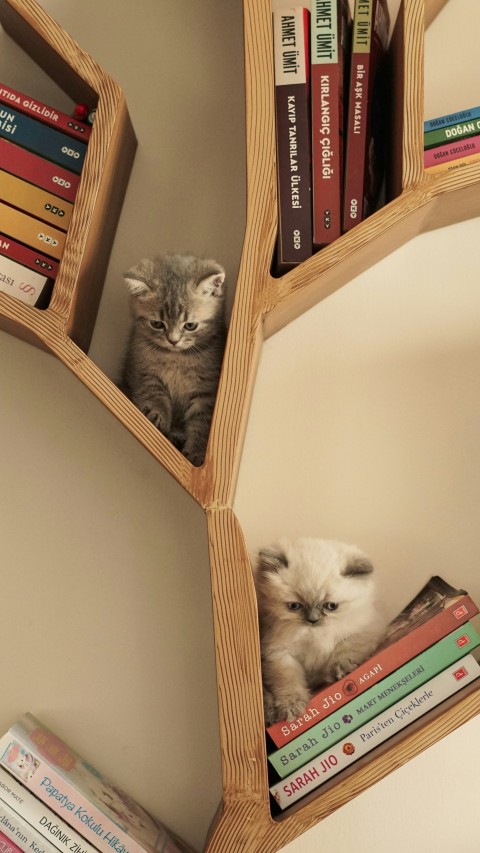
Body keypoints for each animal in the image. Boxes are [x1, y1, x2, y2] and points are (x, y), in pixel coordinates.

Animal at [120, 253, 225, 466]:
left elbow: (202, 421)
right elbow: (154, 392)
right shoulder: (142, 369)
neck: (177, 357)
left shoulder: (207, 390)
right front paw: (157, 415)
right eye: (157, 324)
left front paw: (197, 452)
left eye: (190, 325)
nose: (173, 340)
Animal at [255, 536, 386, 724]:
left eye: (331, 606)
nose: (313, 620)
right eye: (294, 606)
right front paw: (291, 706)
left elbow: (347, 649)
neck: (315, 634)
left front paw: (341, 668)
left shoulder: (366, 628)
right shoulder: (279, 654)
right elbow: (288, 681)